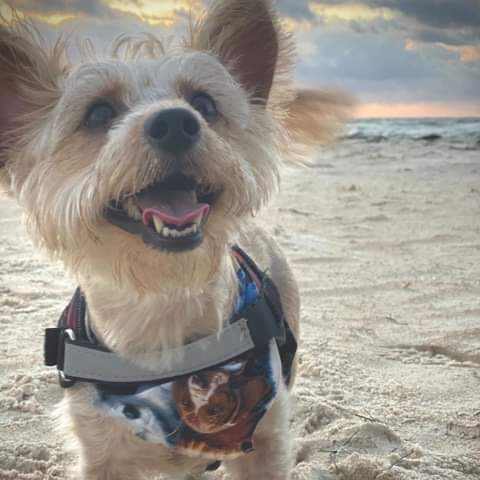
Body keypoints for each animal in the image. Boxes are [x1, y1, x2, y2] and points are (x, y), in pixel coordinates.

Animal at [0, 1, 349, 478]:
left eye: (203, 103)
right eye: (98, 113)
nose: (176, 122)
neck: (163, 300)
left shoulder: (264, 442)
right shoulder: (100, 454)